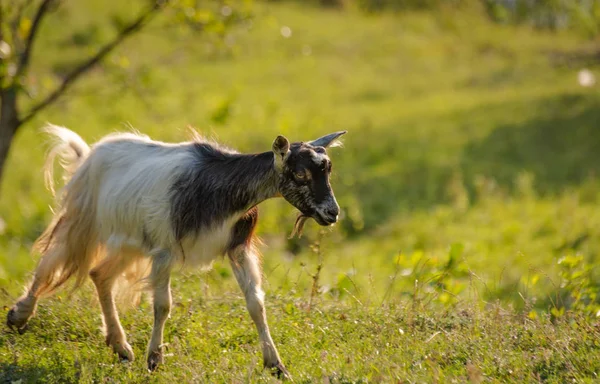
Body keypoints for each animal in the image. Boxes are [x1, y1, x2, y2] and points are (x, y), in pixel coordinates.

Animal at [5, 124, 346, 376]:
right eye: (299, 173)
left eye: (328, 170)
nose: (332, 213)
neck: (219, 188)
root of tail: (90, 153)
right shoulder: (164, 250)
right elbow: (162, 305)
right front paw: (155, 359)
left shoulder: (237, 248)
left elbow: (256, 304)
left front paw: (276, 365)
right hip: (84, 221)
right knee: (51, 261)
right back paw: (18, 316)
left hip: (131, 243)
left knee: (99, 274)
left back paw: (120, 347)